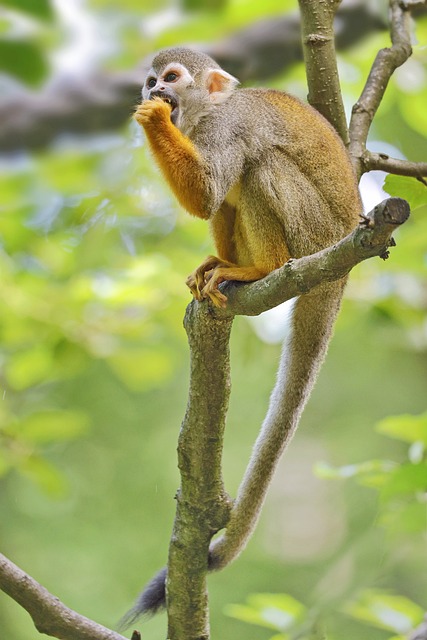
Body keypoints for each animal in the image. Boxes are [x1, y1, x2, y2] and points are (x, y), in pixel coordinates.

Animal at [122, 46, 361, 626]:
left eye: (170, 78)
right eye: (150, 79)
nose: (152, 92)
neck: (204, 115)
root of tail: (340, 267)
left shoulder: (227, 127)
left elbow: (210, 192)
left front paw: (156, 122)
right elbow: (213, 200)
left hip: (314, 233)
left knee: (257, 166)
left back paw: (264, 267)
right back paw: (229, 266)